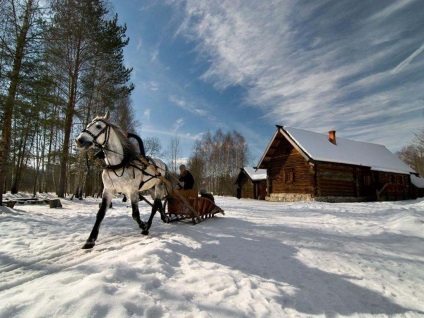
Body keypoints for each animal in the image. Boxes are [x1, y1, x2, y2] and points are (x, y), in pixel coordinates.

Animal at [76, 111, 171, 248]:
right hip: (151, 188)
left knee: (155, 206)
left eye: (98, 126)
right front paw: (90, 239)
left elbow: (135, 214)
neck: (119, 164)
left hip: (159, 186)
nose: (79, 140)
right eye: (88, 125)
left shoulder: (133, 191)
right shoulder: (108, 191)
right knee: (157, 203)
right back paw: (164, 218)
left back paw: (148, 226)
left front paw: (143, 226)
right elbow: (100, 214)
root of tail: (162, 164)